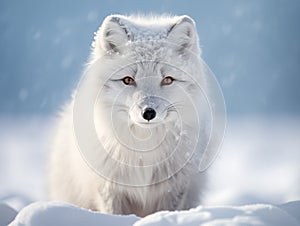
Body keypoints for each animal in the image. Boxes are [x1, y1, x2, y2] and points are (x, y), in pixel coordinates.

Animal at [49, 14, 212, 217]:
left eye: (167, 80)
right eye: (128, 80)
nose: (148, 112)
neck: (144, 149)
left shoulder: (175, 187)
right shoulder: (109, 187)